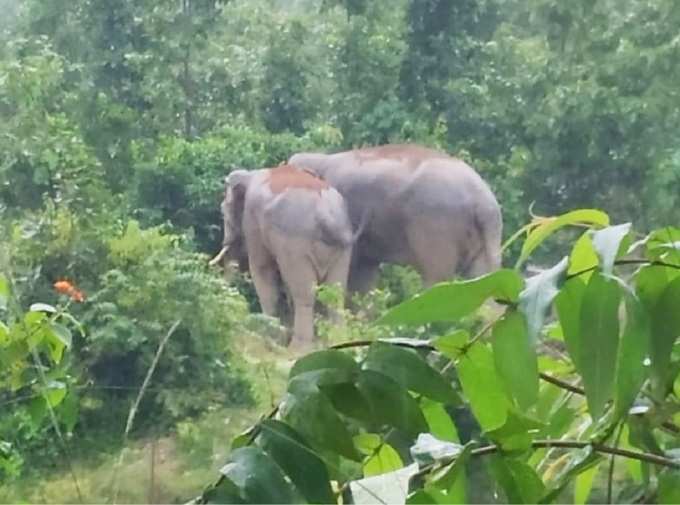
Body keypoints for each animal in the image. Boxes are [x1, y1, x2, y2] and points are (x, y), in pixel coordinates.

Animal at [211, 163, 362, 348]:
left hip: (296, 244)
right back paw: (337, 341)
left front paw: (270, 334)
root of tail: (326, 216)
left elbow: (261, 268)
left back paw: (298, 348)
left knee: (304, 294)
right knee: (335, 292)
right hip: (342, 250)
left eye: (223, 212)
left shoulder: (252, 220)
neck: (250, 174)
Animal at [288, 142, 504, 292]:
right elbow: (363, 277)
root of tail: (485, 203)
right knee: (483, 279)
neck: (320, 159)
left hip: (437, 226)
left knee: (435, 277)